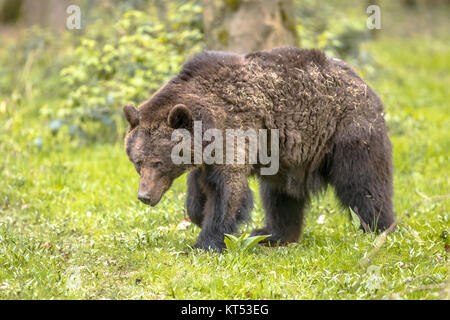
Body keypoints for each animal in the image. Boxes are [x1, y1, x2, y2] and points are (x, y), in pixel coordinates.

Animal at [123, 47, 394, 252]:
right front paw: (198, 214)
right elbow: (199, 189)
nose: (144, 196)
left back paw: (378, 228)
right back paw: (272, 234)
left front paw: (207, 242)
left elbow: (227, 191)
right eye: (138, 163)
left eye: (158, 162)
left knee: (363, 184)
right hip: (288, 157)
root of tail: (363, 83)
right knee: (280, 195)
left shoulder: (235, 131)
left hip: (348, 131)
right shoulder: (207, 155)